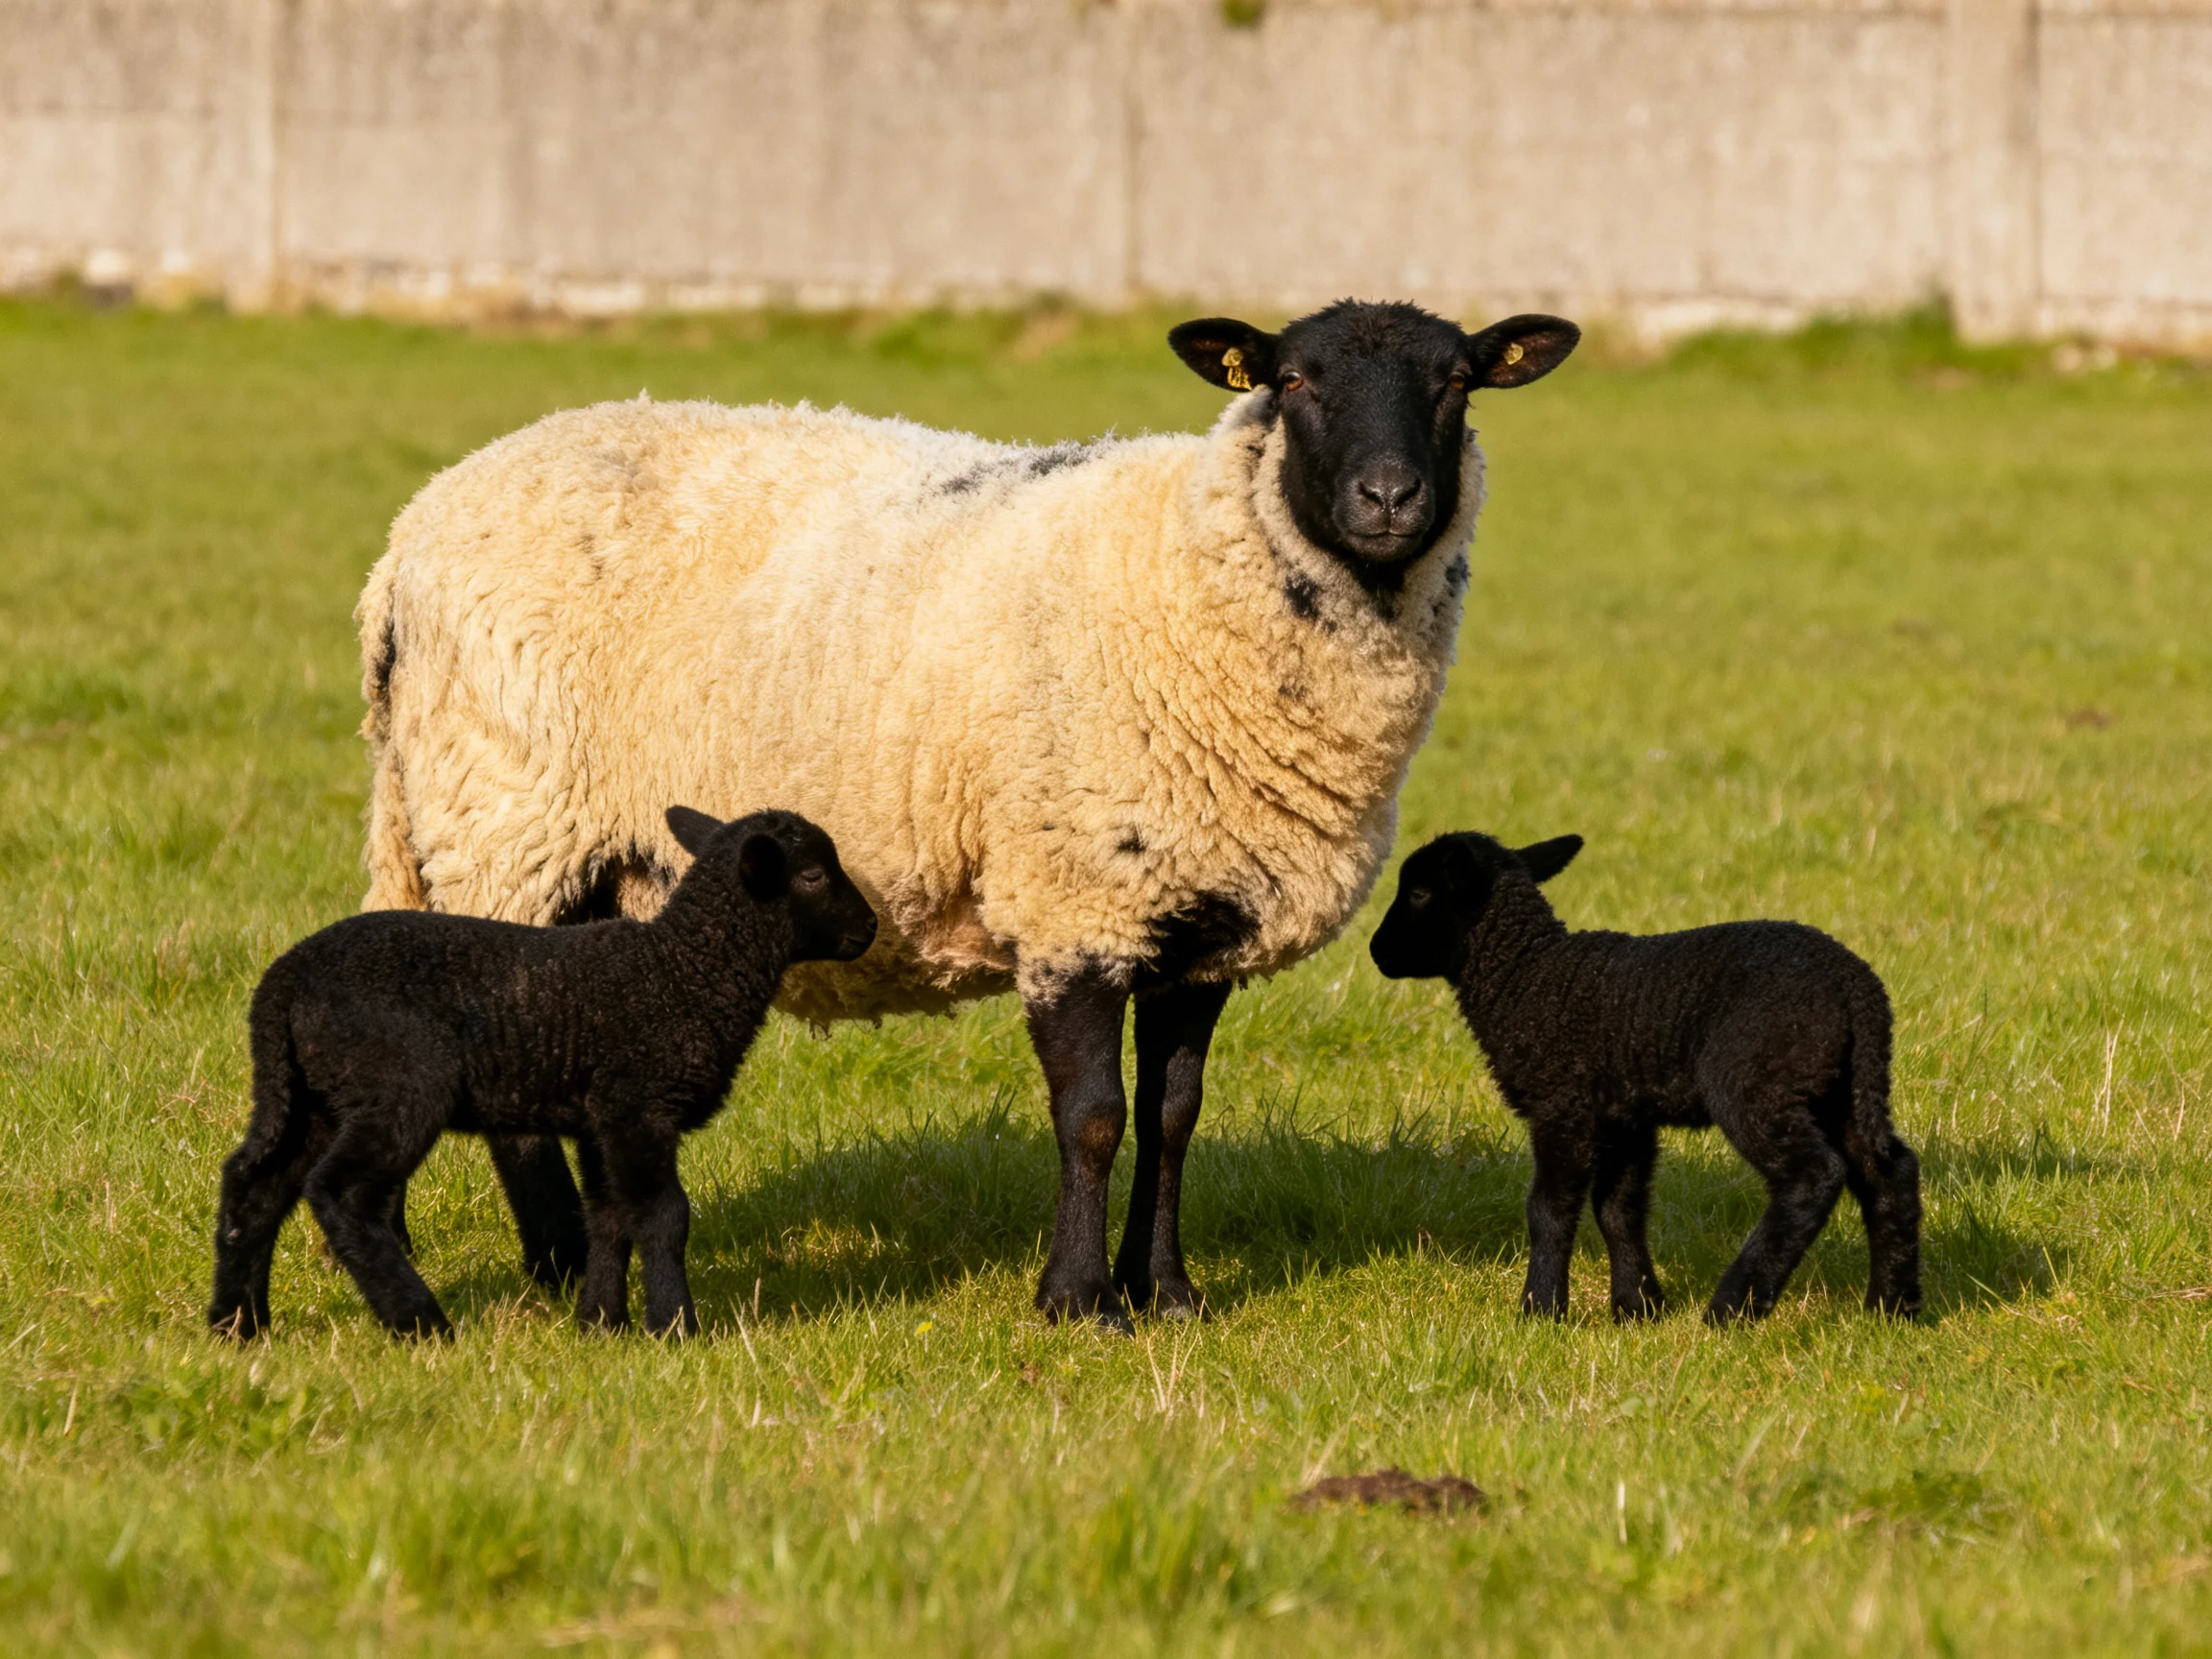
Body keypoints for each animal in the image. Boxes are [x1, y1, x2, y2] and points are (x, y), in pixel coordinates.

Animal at [207, 807, 877, 1340]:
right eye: (813, 875)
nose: (870, 927)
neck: (685, 972)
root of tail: (283, 982)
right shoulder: (638, 1107)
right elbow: (664, 1214)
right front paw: (674, 1327)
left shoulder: (600, 1119)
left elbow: (609, 1216)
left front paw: (600, 1324)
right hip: (397, 1086)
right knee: (340, 1193)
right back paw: (420, 1322)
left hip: (313, 1094)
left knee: (255, 1184)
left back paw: (238, 1325)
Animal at [357, 300, 1580, 1331]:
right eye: (1293, 380)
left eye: (1457, 382)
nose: (1389, 499)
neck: (1192, 569)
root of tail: (408, 539)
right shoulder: (1075, 896)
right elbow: (1094, 1117)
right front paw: (1079, 1300)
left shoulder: (1199, 918)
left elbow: (1174, 1117)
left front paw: (1169, 1293)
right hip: (505, 827)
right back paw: (560, 1263)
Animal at [1369, 832, 1922, 1323]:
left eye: (1419, 892)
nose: (1376, 950)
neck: (1527, 975)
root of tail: (1858, 988)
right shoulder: (1624, 1116)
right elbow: (1618, 1209)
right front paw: (1638, 1307)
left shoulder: (1562, 1102)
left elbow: (1549, 1208)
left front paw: (1541, 1309)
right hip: (1837, 1090)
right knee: (1889, 1173)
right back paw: (1892, 1309)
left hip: (1757, 1085)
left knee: (1813, 1176)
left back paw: (1731, 1307)